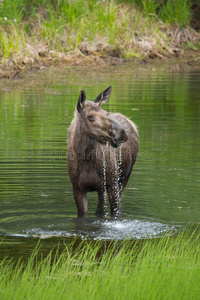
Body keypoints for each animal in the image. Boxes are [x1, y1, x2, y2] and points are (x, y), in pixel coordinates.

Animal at [66, 86, 138, 216]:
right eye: (90, 116)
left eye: (106, 113)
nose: (122, 133)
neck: (86, 160)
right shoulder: (77, 188)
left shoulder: (112, 184)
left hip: (124, 177)